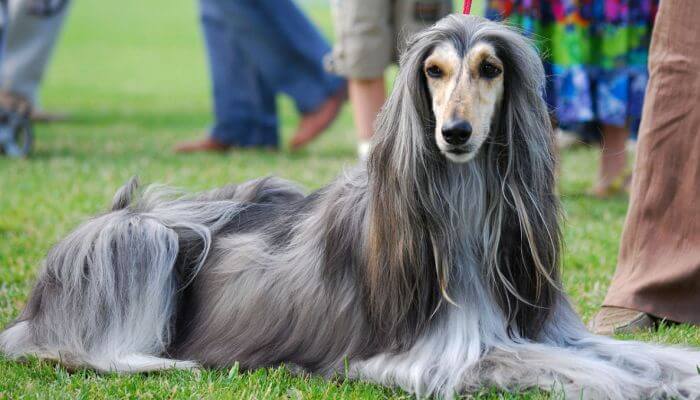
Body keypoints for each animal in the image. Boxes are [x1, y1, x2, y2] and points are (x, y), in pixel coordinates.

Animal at [1, 14, 700, 396]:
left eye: (490, 68)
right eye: (434, 71)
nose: (454, 134)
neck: (462, 209)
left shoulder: (546, 325)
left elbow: (635, 352)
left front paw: (674, 373)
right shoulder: (434, 355)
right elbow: (573, 367)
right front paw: (634, 386)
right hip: (134, 239)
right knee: (77, 345)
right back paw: (158, 360)